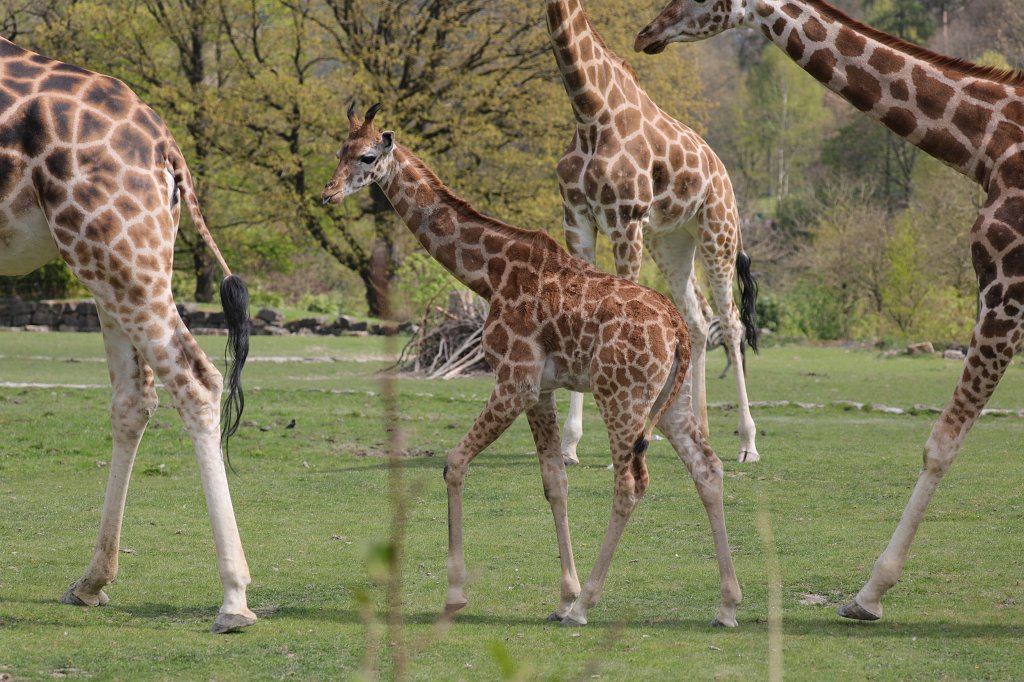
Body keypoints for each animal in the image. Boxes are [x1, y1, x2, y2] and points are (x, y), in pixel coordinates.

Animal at [0, 38, 256, 633]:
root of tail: (164, 145)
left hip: (112, 242)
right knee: (134, 396)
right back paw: (91, 582)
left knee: (194, 378)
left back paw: (233, 599)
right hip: (114, 252)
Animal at [322, 104, 742, 627]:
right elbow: (554, 483)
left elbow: (454, 463)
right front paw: (562, 594)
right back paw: (726, 604)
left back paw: (587, 606)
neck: (489, 275)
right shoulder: (541, 389)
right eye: (338, 151)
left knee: (630, 483)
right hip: (671, 401)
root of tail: (679, 332)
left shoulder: (514, 380)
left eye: (366, 156)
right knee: (708, 469)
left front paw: (456, 595)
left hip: (621, 396)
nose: (327, 193)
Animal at [547, 0, 761, 466]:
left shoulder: (625, 220)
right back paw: (698, 428)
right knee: (697, 321)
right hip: (672, 242)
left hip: (718, 233)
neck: (588, 110)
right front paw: (570, 444)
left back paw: (747, 443)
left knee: (732, 322)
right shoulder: (577, 219)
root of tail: (722, 171)